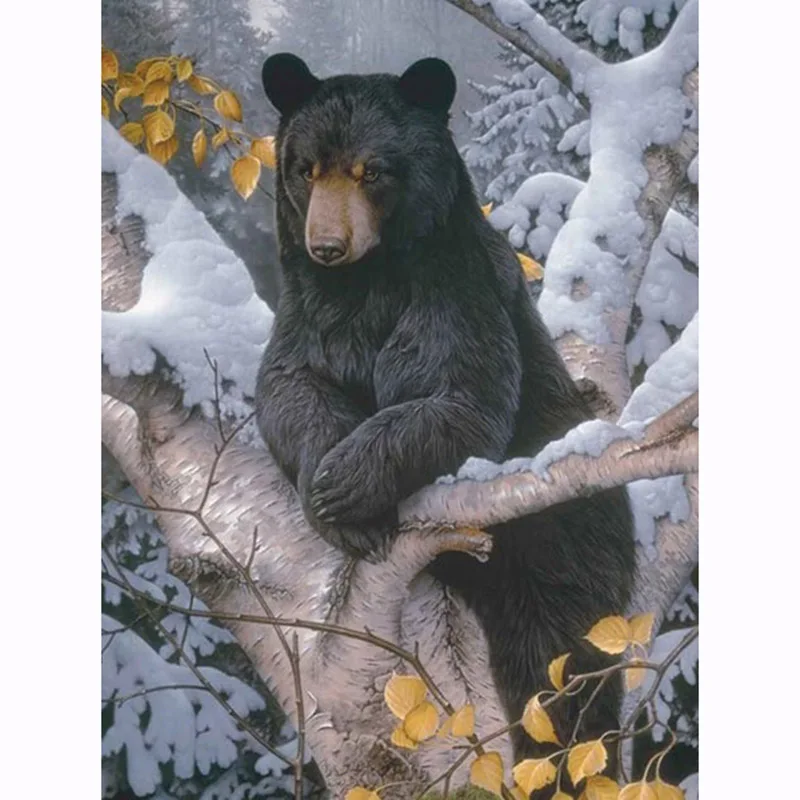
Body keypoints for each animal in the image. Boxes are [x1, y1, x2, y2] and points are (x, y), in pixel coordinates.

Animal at [255, 52, 636, 791]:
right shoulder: (310, 311)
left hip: (565, 544)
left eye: (372, 170)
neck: (366, 283)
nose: (326, 244)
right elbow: (289, 387)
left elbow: (461, 399)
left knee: (562, 672)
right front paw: (335, 497)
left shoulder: (453, 289)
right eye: (306, 168)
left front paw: (347, 483)